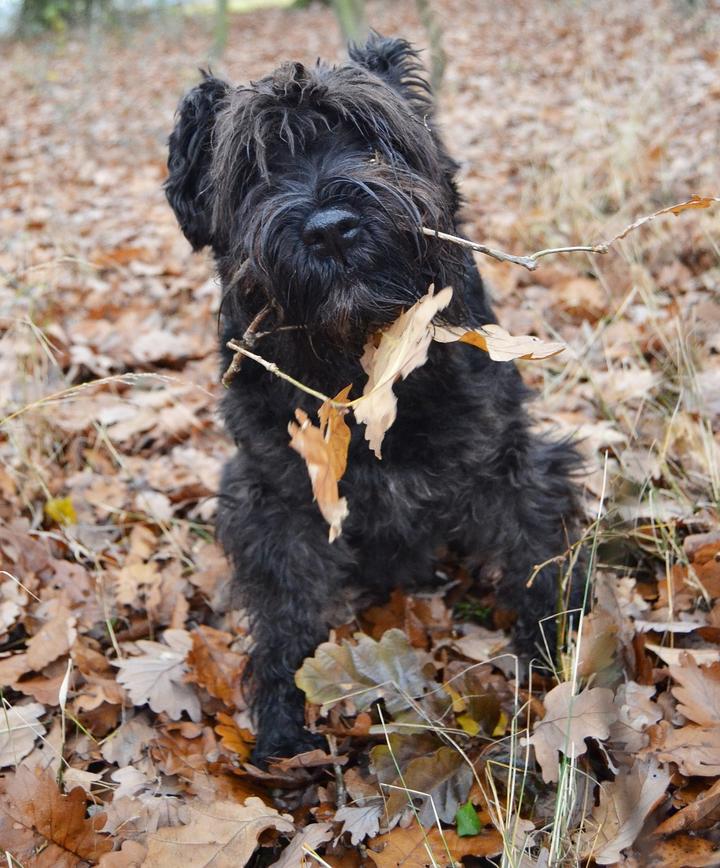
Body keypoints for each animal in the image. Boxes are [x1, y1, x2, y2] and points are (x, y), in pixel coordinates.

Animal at [166, 37, 584, 764]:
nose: (331, 229)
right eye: (254, 168)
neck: (364, 365)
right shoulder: (277, 498)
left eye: (370, 138)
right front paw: (282, 716)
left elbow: (532, 550)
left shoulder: (505, 459)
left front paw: (553, 648)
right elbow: (286, 607)